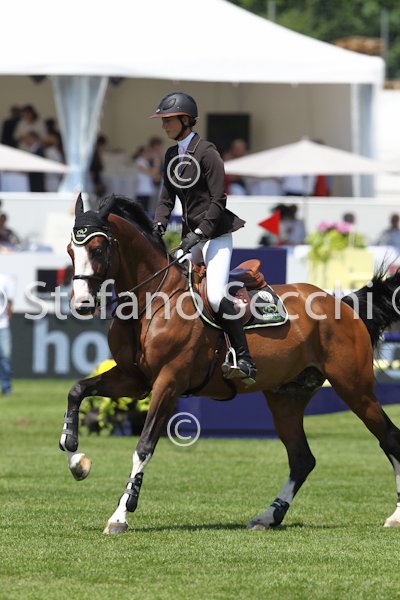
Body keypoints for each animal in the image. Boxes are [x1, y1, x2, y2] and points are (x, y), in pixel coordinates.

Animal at [60, 193, 400, 535]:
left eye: (98, 249)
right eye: (70, 251)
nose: (82, 304)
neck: (153, 299)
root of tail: (342, 304)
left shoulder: (168, 383)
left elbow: (144, 446)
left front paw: (120, 515)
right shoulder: (133, 379)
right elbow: (77, 391)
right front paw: (76, 458)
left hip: (354, 388)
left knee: (389, 438)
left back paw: (395, 516)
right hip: (286, 398)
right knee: (302, 458)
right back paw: (268, 516)